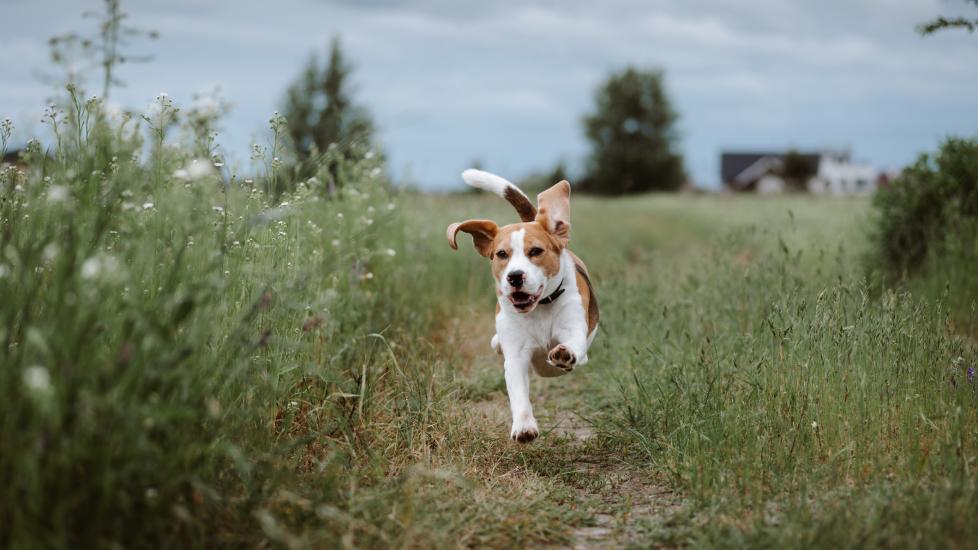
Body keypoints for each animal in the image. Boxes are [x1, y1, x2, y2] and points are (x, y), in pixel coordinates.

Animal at [448, 169, 596, 444]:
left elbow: (572, 344)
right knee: (497, 343)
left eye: (536, 251)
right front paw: (524, 427)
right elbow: (518, 394)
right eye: (501, 254)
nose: (514, 277)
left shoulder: (574, 330)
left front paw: (564, 353)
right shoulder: (516, 357)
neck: (540, 308)